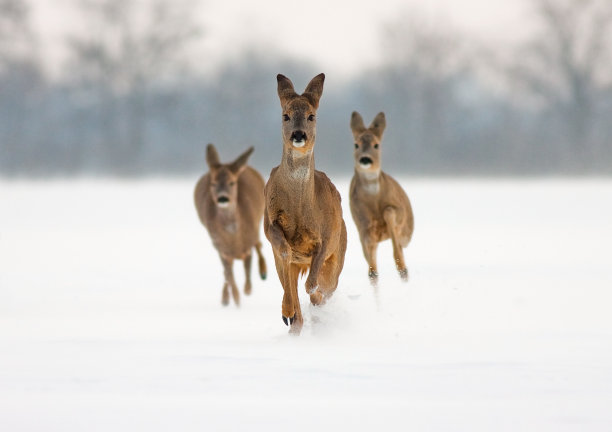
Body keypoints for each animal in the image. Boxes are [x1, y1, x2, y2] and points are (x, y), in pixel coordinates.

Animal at [194, 145, 266, 308]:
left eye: (232, 183)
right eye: (213, 183)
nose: (222, 198)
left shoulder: (247, 244)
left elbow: (247, 270)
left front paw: (247, 290)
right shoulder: (221, 248)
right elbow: (229, 276)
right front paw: (236, 300)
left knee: (259, 244)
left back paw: (263, 272)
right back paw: (226, 298)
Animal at [262, 73, 346, 334]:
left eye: (311, 116)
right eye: (285, 115)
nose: (298, 135)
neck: (300, 208)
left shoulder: (326, 236)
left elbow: (313, 282)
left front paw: (314, 298)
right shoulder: (269, 223)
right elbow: (284, 250)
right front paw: (288, 313)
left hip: (339, 253)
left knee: (325, 287)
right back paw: (291, 318)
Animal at [350, 111, 416, 286]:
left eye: (376, 145)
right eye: (356, 144)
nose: (365, 159)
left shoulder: (399, 211)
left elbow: (388, 212)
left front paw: (401, 267)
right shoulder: (361, 223)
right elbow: (372, 265)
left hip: (407, 232)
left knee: (401, 247)